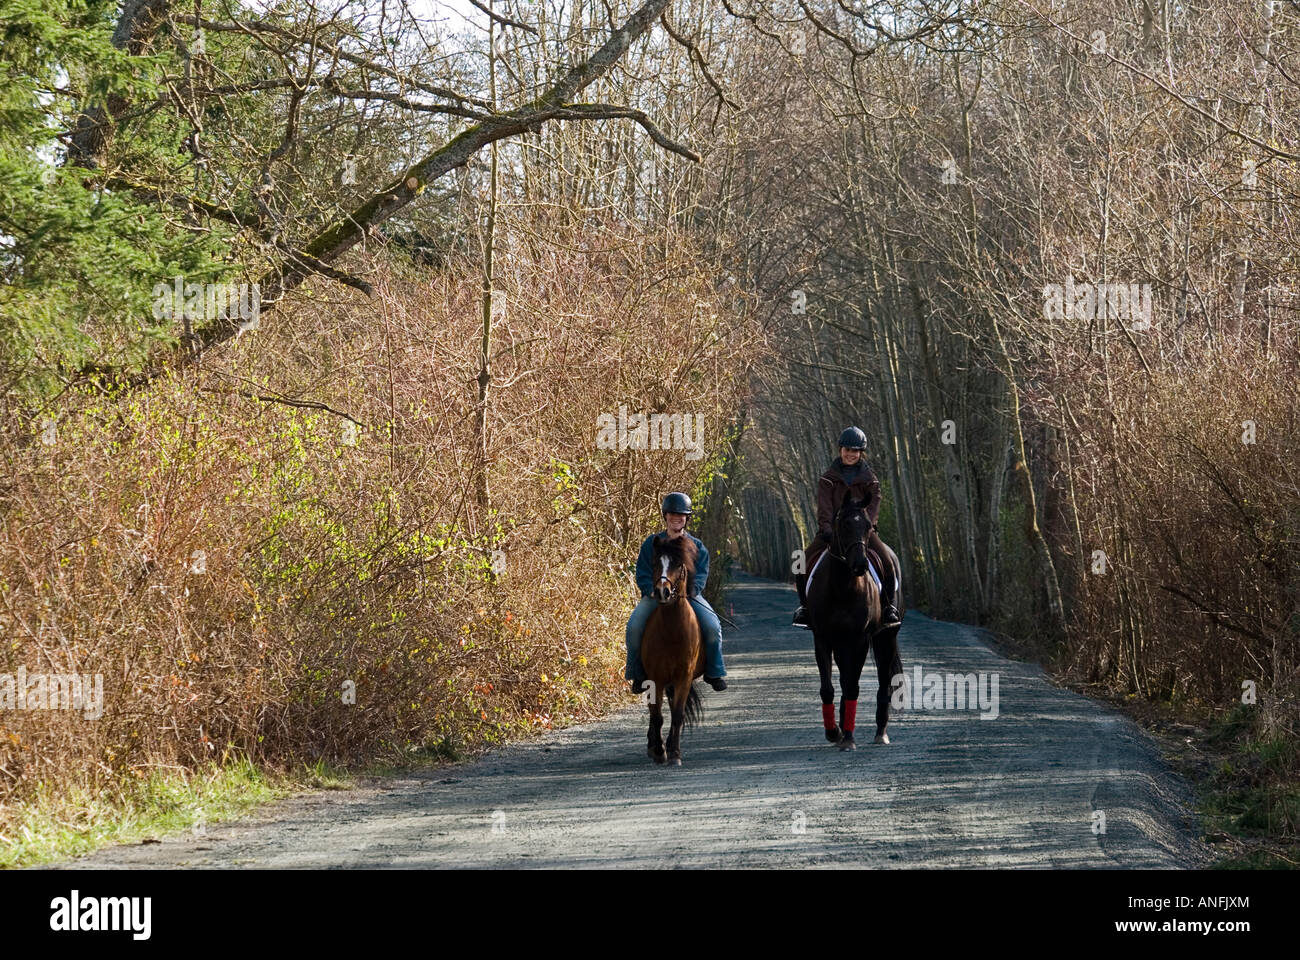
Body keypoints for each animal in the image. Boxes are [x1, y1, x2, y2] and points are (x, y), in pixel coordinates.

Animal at [637, 530, 702, 764]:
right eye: (655, 562)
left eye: (677, 563)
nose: (662, 592)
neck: (672, 632)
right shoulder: (655, 677)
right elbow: (657, 716)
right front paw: (658, 750)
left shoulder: (684, 676)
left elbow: (678, 714)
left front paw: (674, 752)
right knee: (653, 712)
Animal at [806, 494, 909, 749]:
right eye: (844, 524)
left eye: (868, 526)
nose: (861, 564)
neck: (842, 587)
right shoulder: (822, 638)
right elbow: (829, 688)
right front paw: (834, 732)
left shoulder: (860, 640)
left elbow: (852, 686)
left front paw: (849, 738)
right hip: (843, 644)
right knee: (844, 679)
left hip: (886, 637)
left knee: (883, 682)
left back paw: (880, 733)